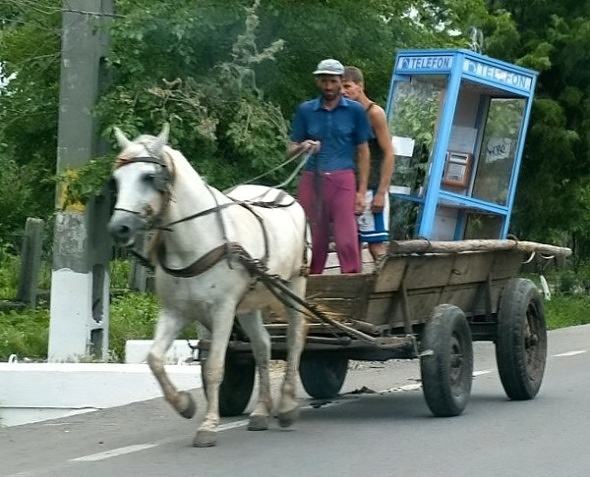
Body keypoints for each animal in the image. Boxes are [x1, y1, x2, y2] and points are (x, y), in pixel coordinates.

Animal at [108, 123, 310, 446]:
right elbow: (154, 359)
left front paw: (208, 426)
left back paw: (287, 405)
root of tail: (283, 196)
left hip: (293, 286)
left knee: (294, 339)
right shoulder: (175, 311)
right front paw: (184, 404)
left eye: (148, 176)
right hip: (249, 305)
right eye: (116, 179)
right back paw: (261, 411)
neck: (196, 239)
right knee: (263, 346)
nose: (119, 228)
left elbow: (215, 366)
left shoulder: (223, 310)